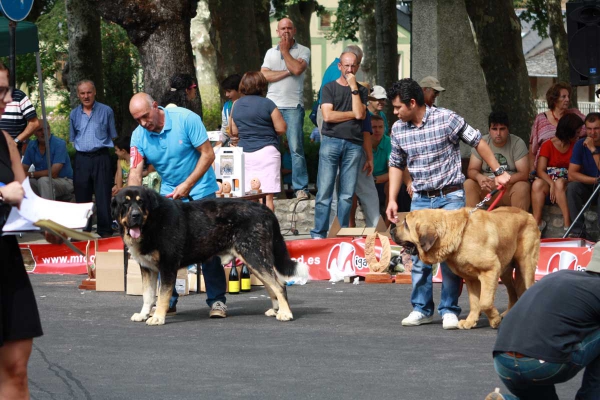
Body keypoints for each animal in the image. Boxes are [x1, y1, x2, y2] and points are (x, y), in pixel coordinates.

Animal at [112, 187, 308, 324]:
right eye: (125, 204)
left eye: (141, 203)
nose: (136, 215)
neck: (152, 221)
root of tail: (265, 209)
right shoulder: (147, 268)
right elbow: (148, 296)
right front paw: (144, 314)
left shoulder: (167, 267)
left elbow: (162, 295)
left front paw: (158, 317)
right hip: (253, 260)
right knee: (272, 285)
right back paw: (276, 310)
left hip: (254, 256)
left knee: (279, 285)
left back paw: (285, 313)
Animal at [392, 206, 540, 328]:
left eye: (406, 224)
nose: (392, 230)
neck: (458, 235)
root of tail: (529, 214)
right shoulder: (471, 279)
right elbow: (474, 302)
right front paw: (470, 321)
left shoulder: (490, 270)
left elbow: (484, 302)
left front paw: (495, 320)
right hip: (505, 271)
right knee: (512, 290)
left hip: (525, 264)